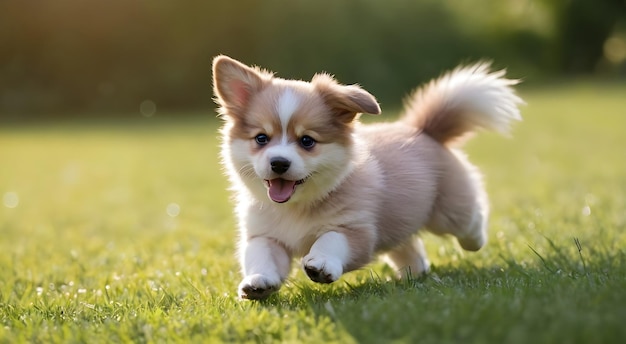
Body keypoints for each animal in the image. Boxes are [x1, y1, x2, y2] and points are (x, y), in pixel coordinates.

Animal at [211, 55, 520, 300]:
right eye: (261, 139)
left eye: (307, 141)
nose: (278, 163)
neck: (297, 208)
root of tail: (423, 130)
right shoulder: (265, 235)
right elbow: (260, 256)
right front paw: (258, 283)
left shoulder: (355, 228)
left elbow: (330, 240)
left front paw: (321, 264)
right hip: (399, 220)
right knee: (408, 245)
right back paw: (414, 272)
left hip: (448, 212)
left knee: (471, 217)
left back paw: (474, 240)